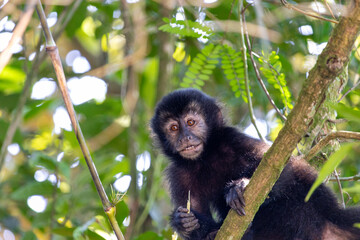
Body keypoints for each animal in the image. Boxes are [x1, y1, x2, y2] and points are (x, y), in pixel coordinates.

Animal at [150, 88, 360, 240]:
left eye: (191, 122)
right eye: (173, 128)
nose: (185, 138)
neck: (206, 158)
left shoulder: (233, 139)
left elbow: (281, 169)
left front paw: (240, 186)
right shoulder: (178, 173)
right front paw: (183, 222)